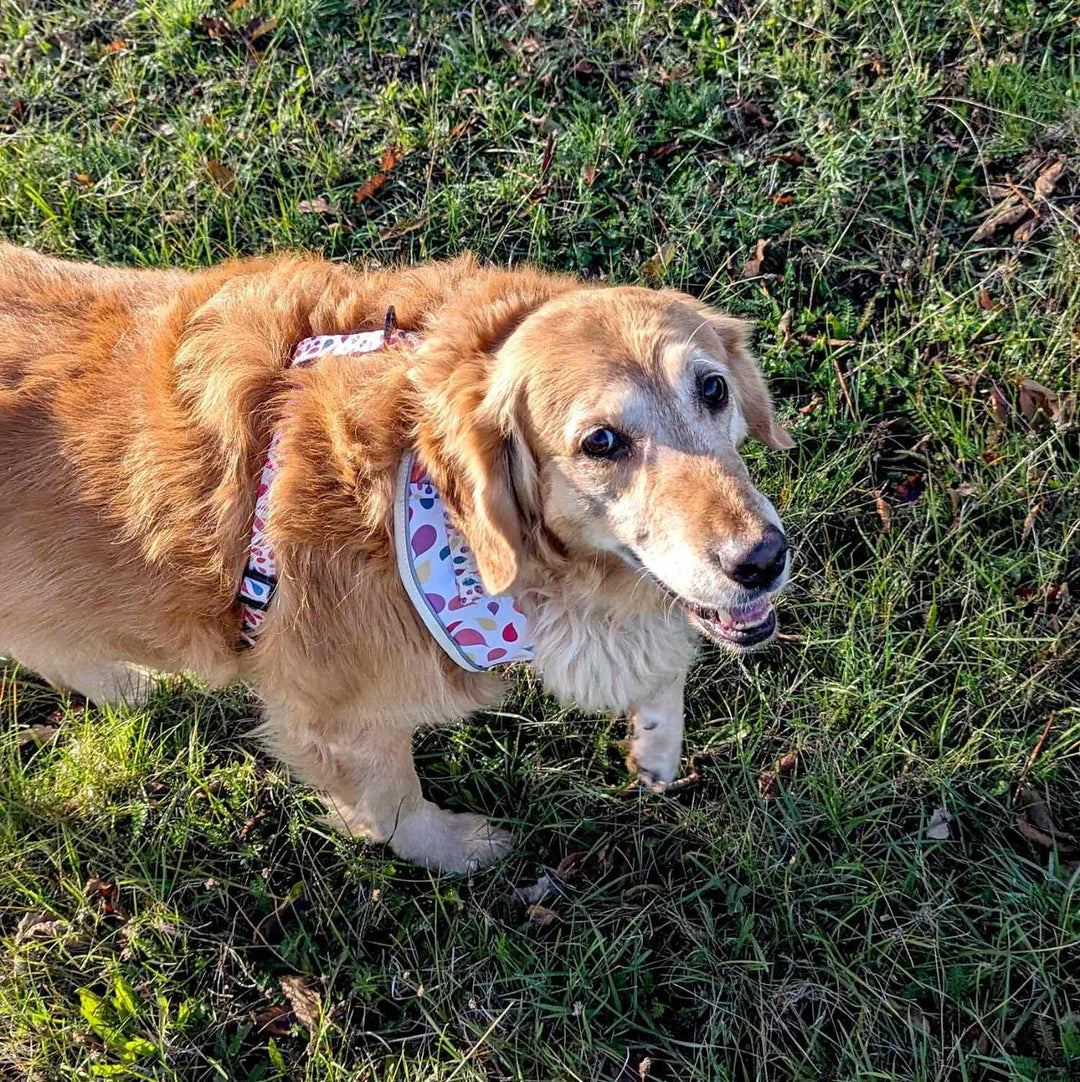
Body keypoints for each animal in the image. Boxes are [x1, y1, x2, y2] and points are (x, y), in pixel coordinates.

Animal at [0, 245, 796, 869]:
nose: (764, 559)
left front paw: (656, 745)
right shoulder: (337, 722)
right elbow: (392, 809)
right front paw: (458, 851)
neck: (415, 488)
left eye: (713, 389)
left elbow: (662, 660)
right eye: (601, 442)